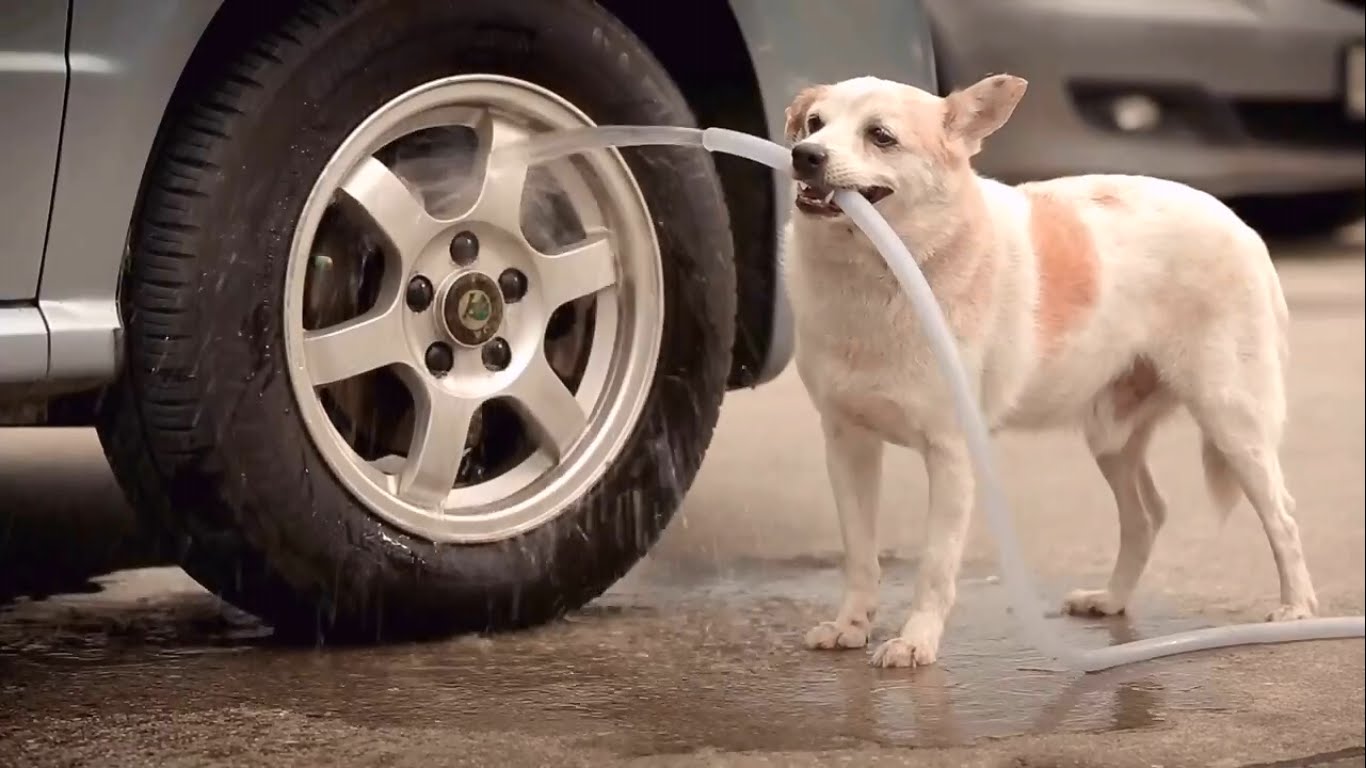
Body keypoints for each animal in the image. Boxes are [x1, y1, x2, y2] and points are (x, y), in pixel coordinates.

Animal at [786, 74, 1316, 666]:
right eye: (815, 125)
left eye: (880, 136)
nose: (805, 156)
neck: (882, 275)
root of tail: (1240, 223)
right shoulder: (847, 444)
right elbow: (859, 554)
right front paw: (850, 626)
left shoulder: (951, 455)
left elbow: (935, 565)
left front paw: (916, 640)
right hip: (1111, 437)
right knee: (1147, 515)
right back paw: (1111, 599)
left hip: (1233, 422)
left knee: (1282, 515)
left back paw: (1297, 610)